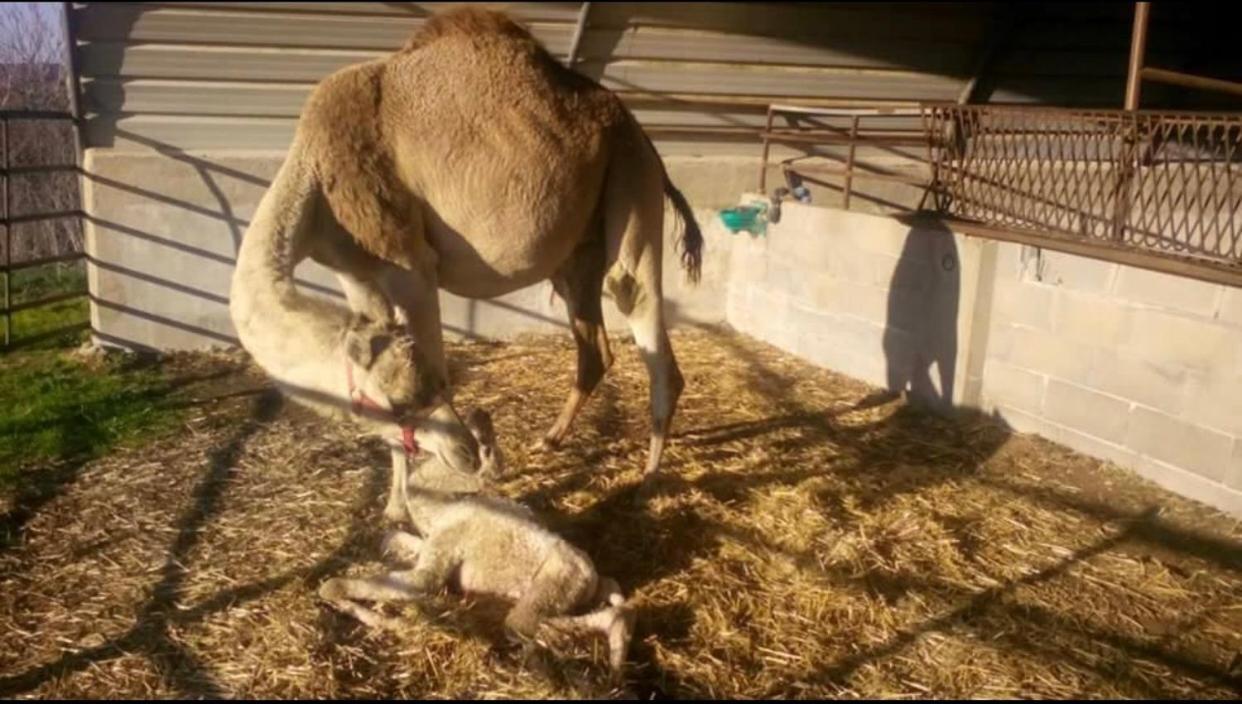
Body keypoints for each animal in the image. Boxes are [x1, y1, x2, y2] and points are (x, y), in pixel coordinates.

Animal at [229, 6, 705, 518]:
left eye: (419, 393)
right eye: (397, 403)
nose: (463, 450)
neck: (316, 184)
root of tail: (643, 136)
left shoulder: (408, 262)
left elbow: (435, 351)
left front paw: (420, 498)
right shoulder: (355, 272)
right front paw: (395, 507)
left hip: (630, 179)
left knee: (637, 304)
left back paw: (649, 481)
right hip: (577, 248)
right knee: (595, 345)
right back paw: (550, 440)